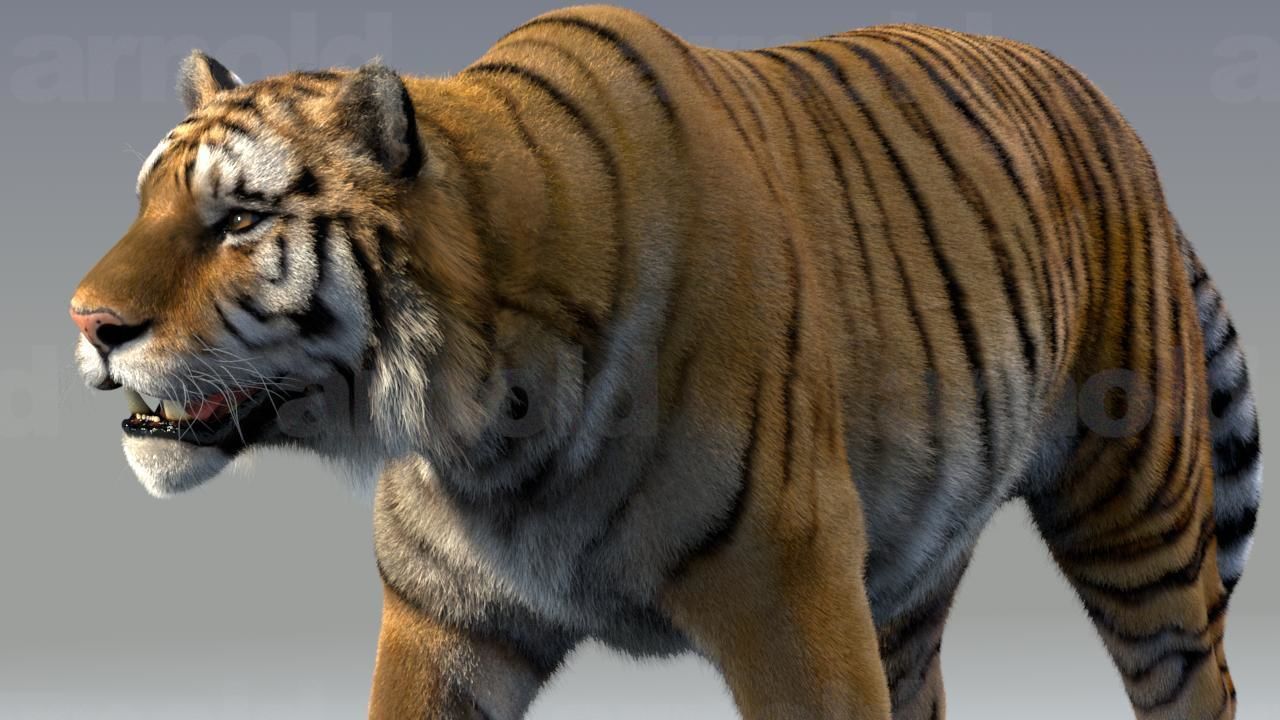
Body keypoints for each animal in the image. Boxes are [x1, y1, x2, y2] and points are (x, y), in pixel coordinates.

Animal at [68, 5, 1261, 719]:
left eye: (238, 220)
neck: (482, 430)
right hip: (914, 573)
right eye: (145, 204)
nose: (87, 322)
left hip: (1137, 512)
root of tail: (1105, 105)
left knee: (1192, 671)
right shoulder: (442, 619)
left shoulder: (791, 594)